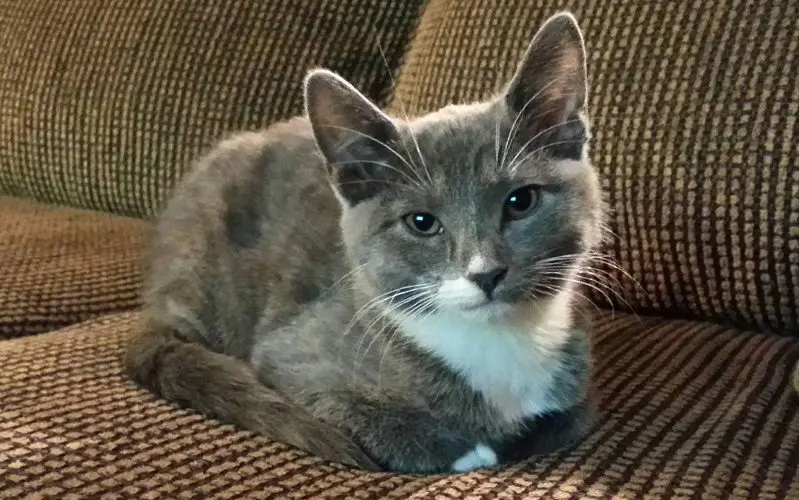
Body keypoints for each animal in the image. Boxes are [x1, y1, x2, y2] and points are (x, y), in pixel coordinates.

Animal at [125, 10, 604, 472]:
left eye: (520, 201)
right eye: (421, 222)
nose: (486, 273)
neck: (497, 340)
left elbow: (572, 417)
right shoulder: (290, 357)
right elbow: (349, 406)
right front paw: (462, 449)